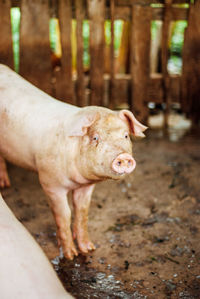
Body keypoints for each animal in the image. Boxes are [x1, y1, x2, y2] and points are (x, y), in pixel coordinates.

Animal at [0, 65, 147, 260]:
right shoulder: (50, 183)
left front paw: (89, 249)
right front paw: (71, 255)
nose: (123, 157)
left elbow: (82, 212)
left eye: (125, 136)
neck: (76, 180)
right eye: (95, 137)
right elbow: (64, 215)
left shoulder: (86, 187)